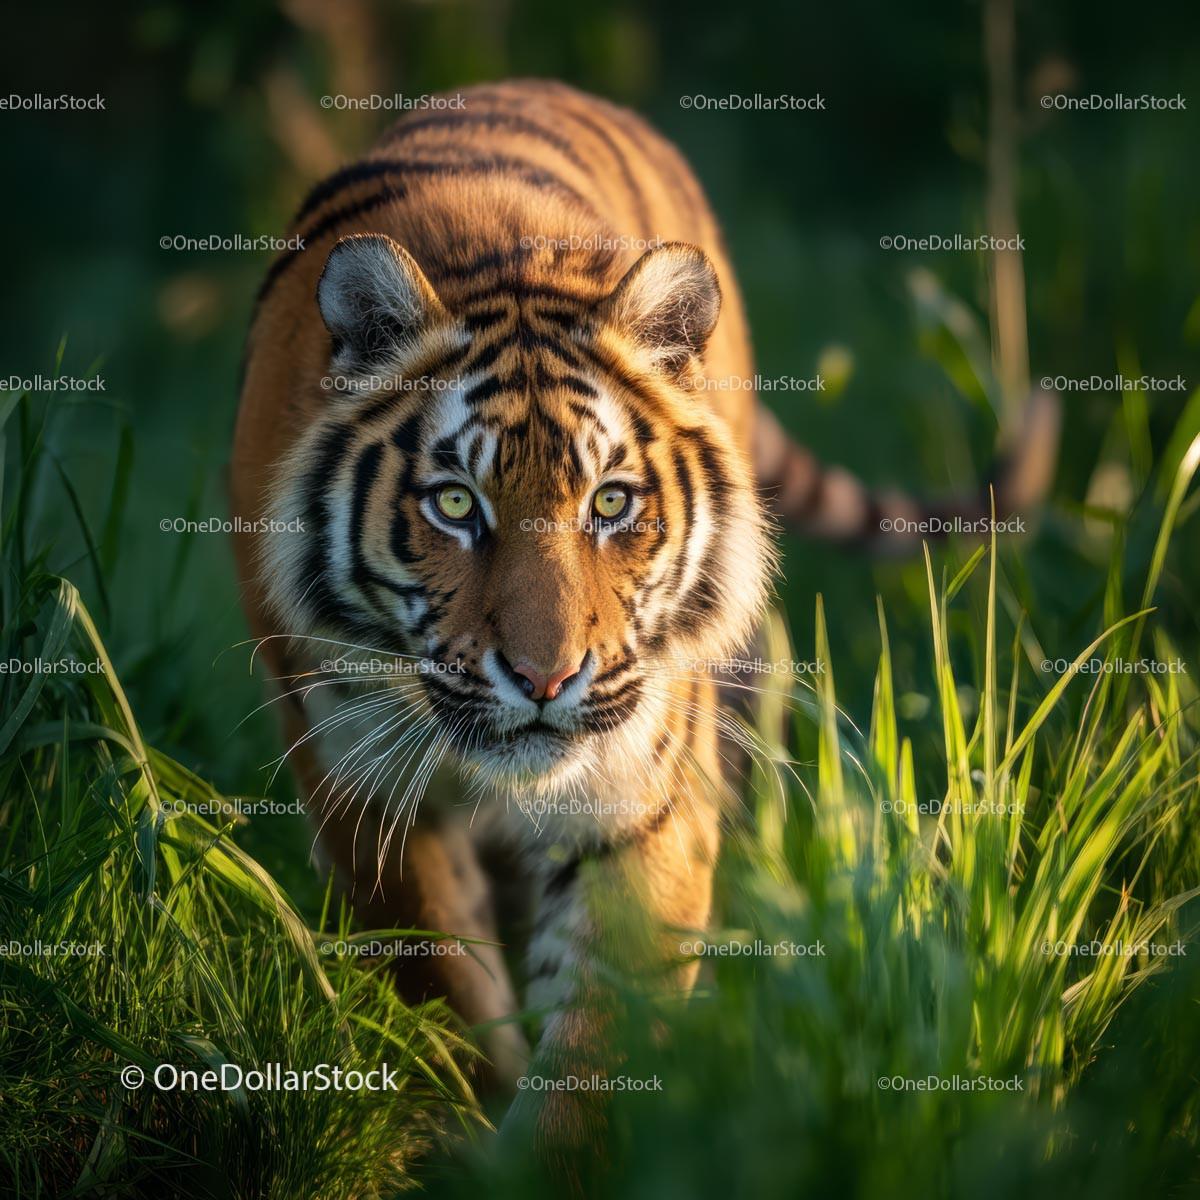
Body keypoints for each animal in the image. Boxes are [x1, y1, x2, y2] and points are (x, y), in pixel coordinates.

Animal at [230, 78, 1058, 1149]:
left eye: (611, 502)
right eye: (454, 503)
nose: (543, 680)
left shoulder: (642, 797)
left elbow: (593, 1052)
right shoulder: (360, 783)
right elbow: (444, 983)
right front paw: (471, 1127)